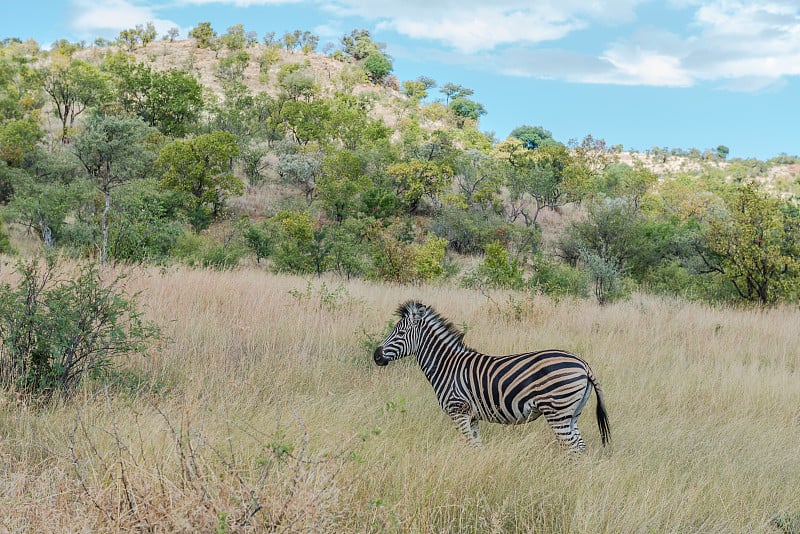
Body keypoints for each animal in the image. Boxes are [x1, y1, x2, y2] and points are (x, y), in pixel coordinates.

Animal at [372, 302, 608, 452]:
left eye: (400, 333)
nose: (376, 355)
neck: (446, 366)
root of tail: (583, 364)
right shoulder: (472, 416)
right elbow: (476, 447)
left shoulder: (458, 411)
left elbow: (468, 445)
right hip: (572, 413)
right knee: (579, 447)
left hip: (557, 412)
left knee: (572, 448)